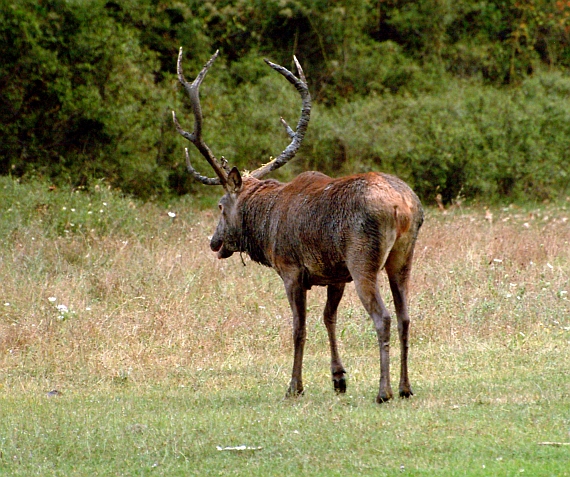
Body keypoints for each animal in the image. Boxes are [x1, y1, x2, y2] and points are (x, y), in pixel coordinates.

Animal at [172, 48, 422, 402]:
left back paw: (383, 391)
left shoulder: (291, 269)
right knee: (405, 316)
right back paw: (405, 386)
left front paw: (294, 385)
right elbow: (328, 317)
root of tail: (403, 207)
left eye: (220, 206)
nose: (213, 241)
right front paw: (338, 378)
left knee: (382, 317)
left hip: (364, 258)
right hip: (402, 257)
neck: (265, 226)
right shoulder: (335, 273)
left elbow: (298, 328)